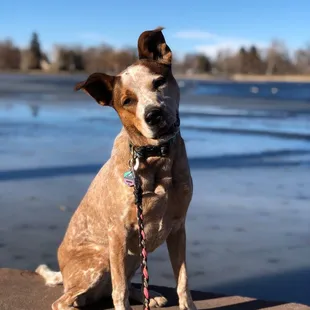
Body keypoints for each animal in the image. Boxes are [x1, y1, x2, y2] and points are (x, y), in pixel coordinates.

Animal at [36, 27, 196, 310]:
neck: (155, 157)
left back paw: (151, 296)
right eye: (127, 101)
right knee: (65, 301)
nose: (153, 115)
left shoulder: (178, 227)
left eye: (159, 82)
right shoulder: (118, 234)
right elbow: (118, 291)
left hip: (132, 256)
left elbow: (183, 279)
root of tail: (64, 274)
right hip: (101, 259)